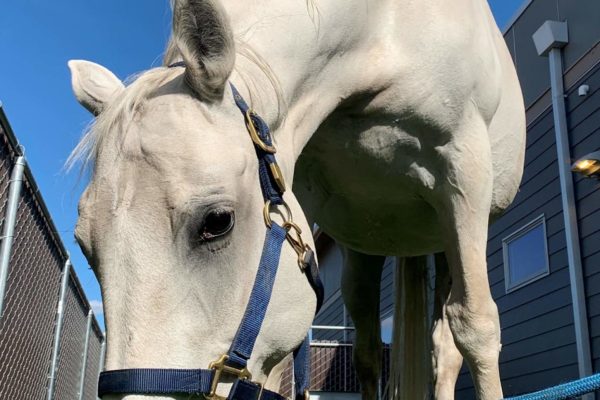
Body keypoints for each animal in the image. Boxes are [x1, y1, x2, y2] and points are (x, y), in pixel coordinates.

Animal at [68, 1, 524, 398]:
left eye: (217, 221)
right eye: (85, 246)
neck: (386, 31)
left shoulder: (465, 174)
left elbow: (478, 328)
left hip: (448, 238)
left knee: (445, 349)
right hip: (367, 238)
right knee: (368, 352)